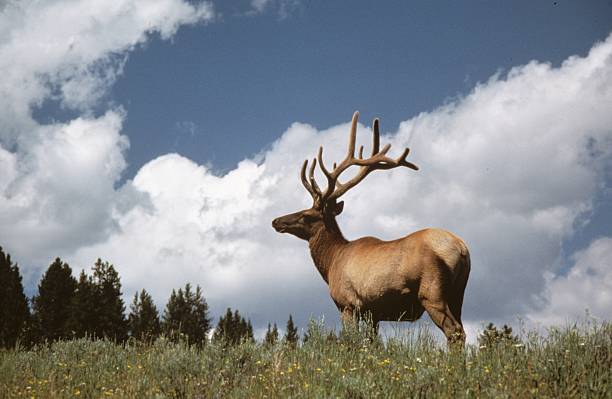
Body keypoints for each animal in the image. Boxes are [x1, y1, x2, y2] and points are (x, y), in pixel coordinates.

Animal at [270, 111, 470, 344]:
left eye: (306, 215)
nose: (276, 221)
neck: (331, 263)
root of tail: (461, 248)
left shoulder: (348, 303)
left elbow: (352, 341)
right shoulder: (373, 312)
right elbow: (372, 343)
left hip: (432, 291)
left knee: (454, 331)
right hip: (459, 293)